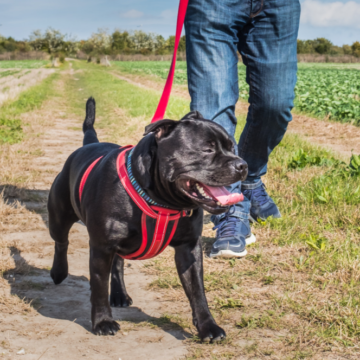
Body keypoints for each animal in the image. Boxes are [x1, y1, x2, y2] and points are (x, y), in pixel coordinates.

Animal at [47, 97, 248, 340]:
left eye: (232, 147)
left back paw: (119, 294)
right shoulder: (101, 248)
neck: (160, 202)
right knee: (61, 241)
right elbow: (99, 286)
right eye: (207, 149)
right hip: (59, 216)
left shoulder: (189, 249)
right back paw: (59, 272)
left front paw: (208, 326)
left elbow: (197, 292)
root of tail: (88, 144)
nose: (242, 164)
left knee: (118, 263)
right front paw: (103, 322)